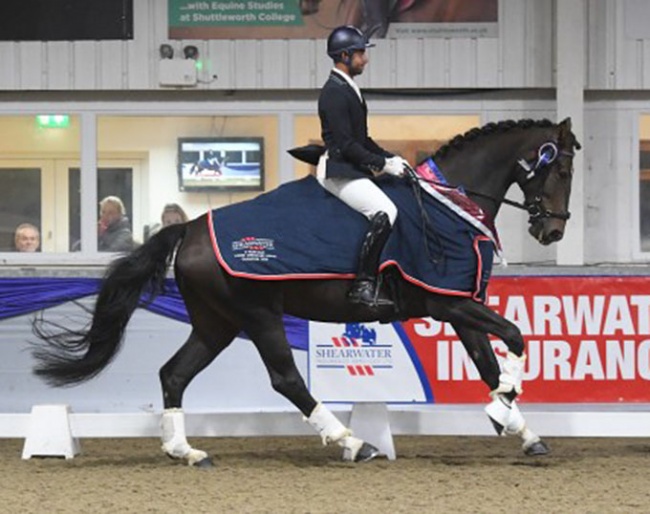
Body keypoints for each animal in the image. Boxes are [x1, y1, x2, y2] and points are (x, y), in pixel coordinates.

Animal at [31, 118, 576, 466]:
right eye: (561, 168)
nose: (552, 231)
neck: (451, 202)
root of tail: (190, 228)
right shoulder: (450, 301)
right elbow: (515, 338)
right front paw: (502, 412)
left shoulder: (459, 307)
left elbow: (490, 363)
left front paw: (520, 429)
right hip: (256, 314)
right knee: (286, 379)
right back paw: (353, 443)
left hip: (215, 322)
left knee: (174, 373)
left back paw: (186, 451)